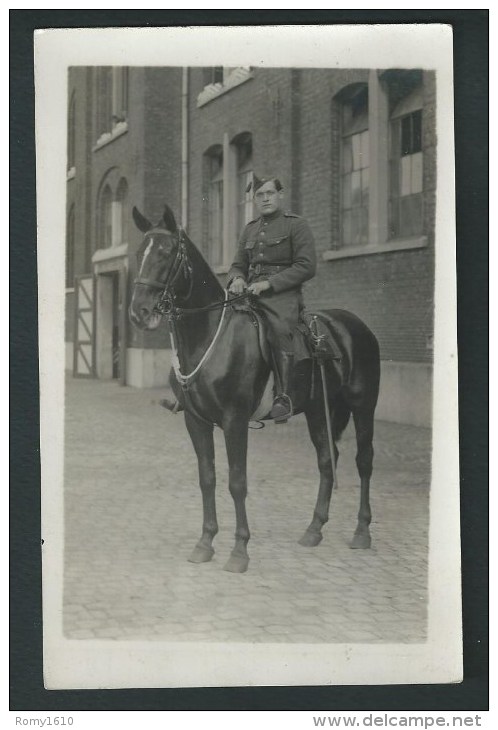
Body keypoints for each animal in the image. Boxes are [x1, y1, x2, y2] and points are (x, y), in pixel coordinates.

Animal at [129, 203, 382, 568]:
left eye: (165, 252)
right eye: (139, 253)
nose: (140, 312)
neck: (210, 335)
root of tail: (354, 325)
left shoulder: (235, 420)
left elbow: (237, 482)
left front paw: (239, 551)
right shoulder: (196, 420)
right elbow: (207, 478)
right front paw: (205, 542)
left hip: (363, 406)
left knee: (364, 460)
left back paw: (362, 531)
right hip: (318, 409)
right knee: (327, 459)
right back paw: (314, 529)